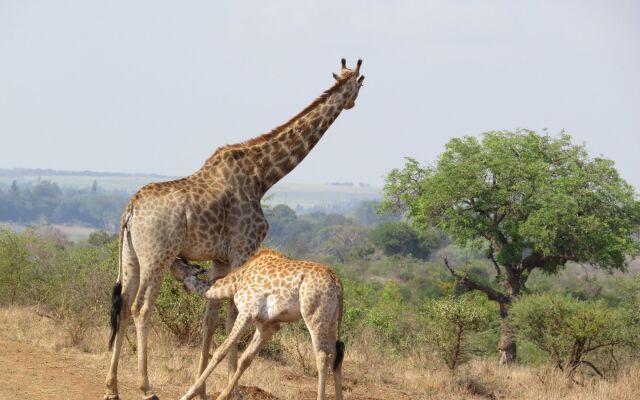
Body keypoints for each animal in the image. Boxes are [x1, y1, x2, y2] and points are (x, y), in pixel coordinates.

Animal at [174, 250, 344, 400]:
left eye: (182, 264)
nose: (174, 260)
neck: (237, 282)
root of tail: (337, 282)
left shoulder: (247, 312)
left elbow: (220, 351)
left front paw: (187, 394)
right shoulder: (268, 324)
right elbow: (246, 359)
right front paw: (223, 396)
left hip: (314, 315)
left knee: (323, 355)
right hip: (331, 321)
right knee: (336, 356)